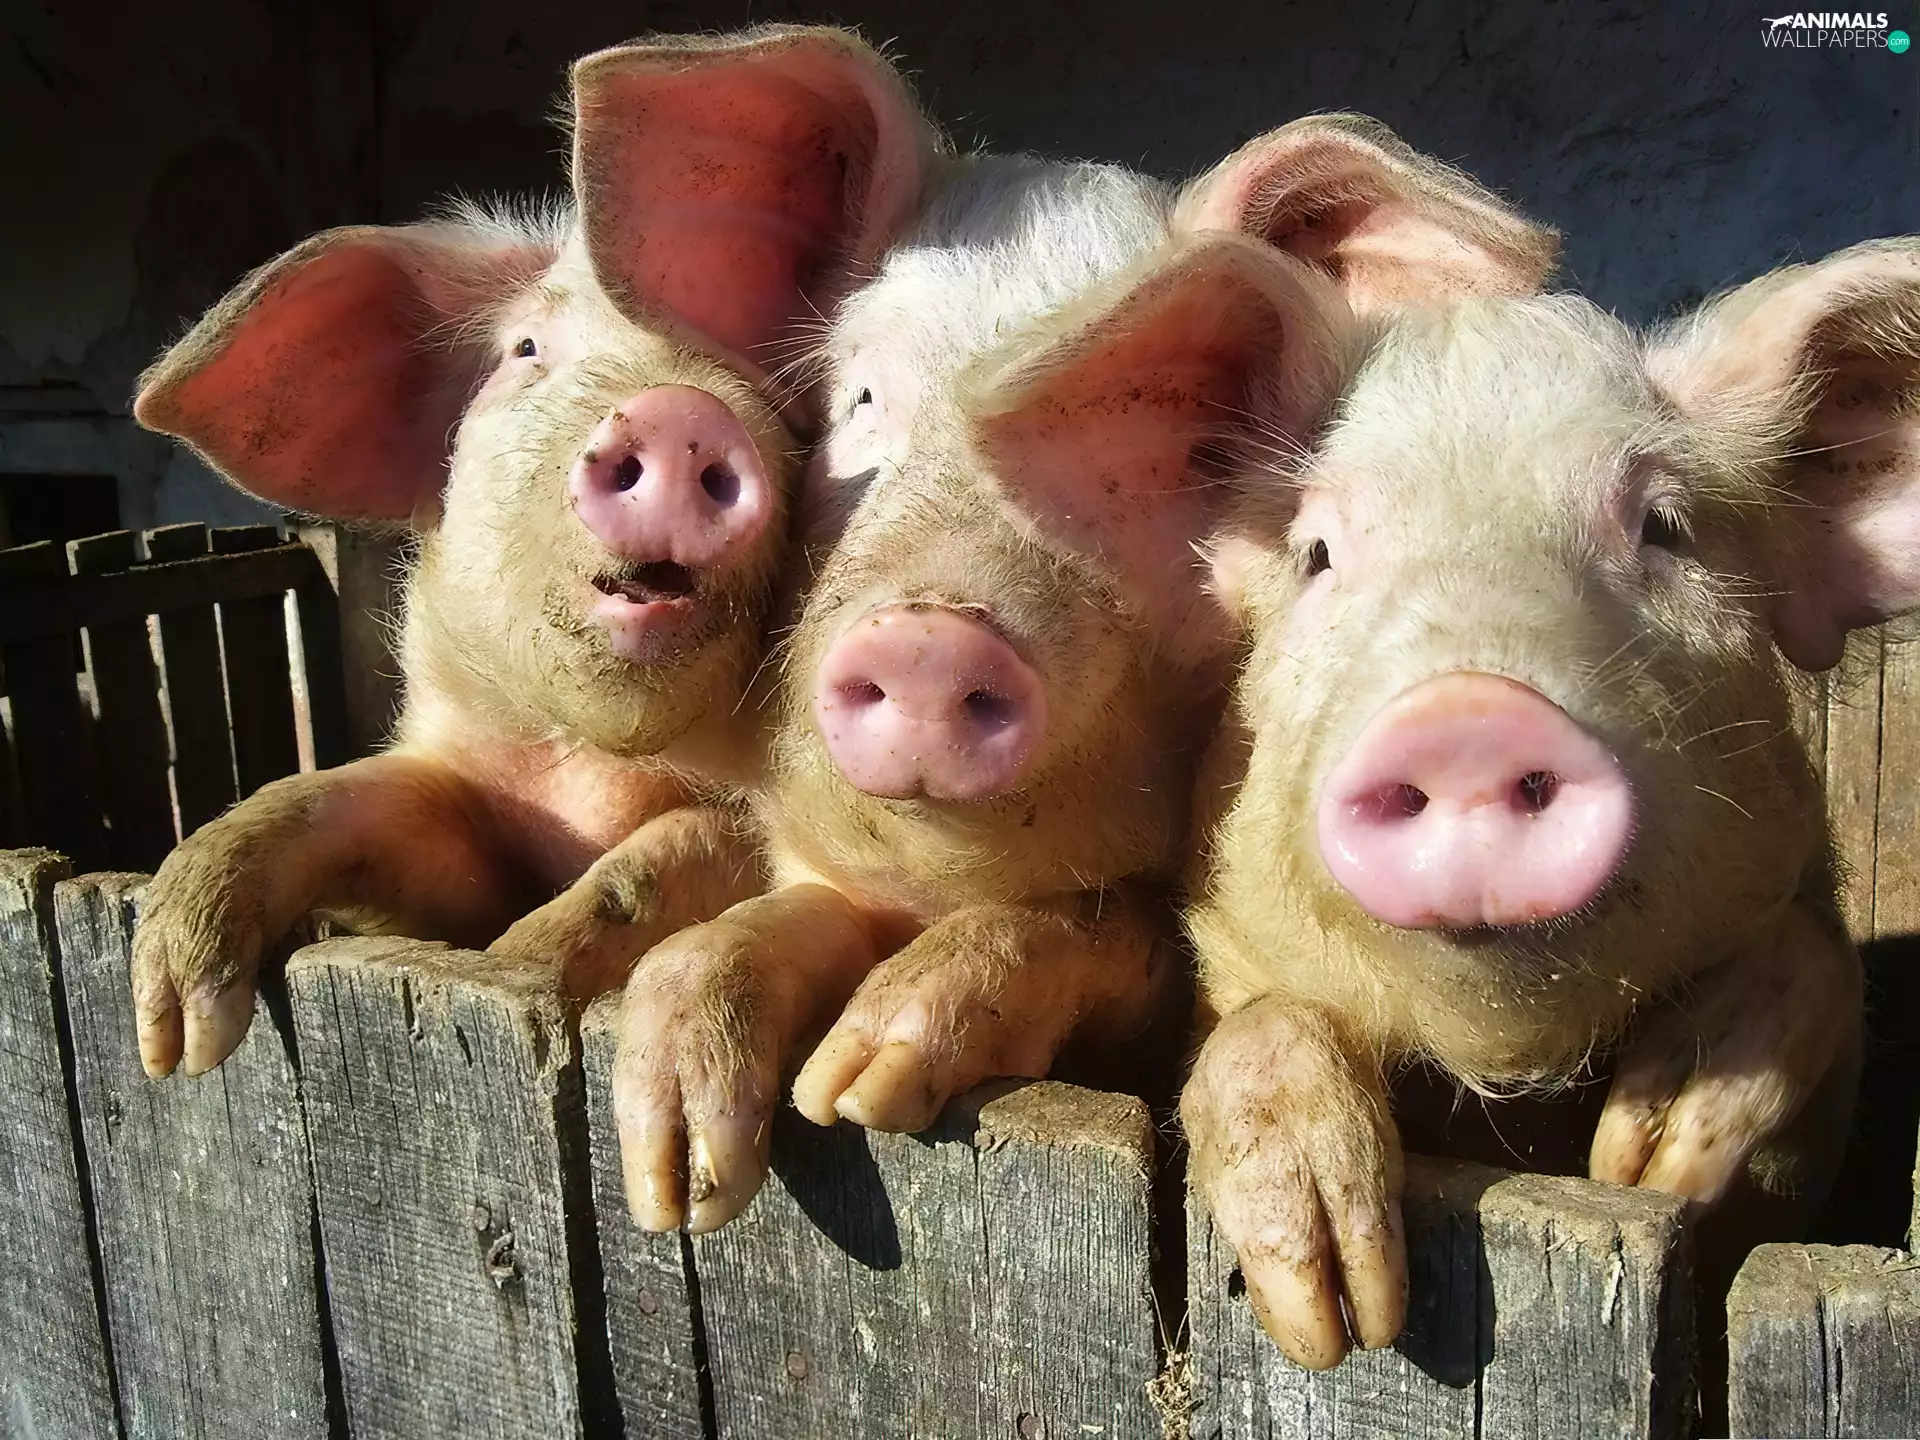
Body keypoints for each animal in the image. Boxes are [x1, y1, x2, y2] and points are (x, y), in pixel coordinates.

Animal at [126, 26, 935, 1078]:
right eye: (524, 352)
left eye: (772, 397)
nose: (684, 415)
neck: (585, 772)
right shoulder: (460, 797)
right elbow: (329, 796)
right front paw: (176, 1038)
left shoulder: (735, 828)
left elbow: (652, 865)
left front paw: (512, 976)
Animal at [602, 130, 1373, 1232]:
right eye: (862, 399)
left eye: (1187, 453)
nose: (931, 634)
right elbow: (749, 931)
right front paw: (684, 1187)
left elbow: (1085, 927)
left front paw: (862, 1088)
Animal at [1182, 222, 1916, 1366]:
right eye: (1317, 554)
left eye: (1665, 528)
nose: (1468, 711)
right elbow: (1254, 1030)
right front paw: (1338, 1320)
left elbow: (1810, 968)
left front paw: (1648, 1162)